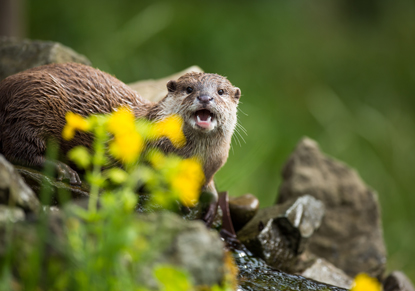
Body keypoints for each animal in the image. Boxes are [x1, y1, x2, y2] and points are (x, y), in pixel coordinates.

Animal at [0, 61, 240, 221]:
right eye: (189, 89)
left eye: (221, 91)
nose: (205, 97)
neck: (194, 158)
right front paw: (180, 200)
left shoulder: (210, 167)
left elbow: (208, 185)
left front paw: (212, 204)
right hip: (35, 103)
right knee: (19, 149)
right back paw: (64, 169)